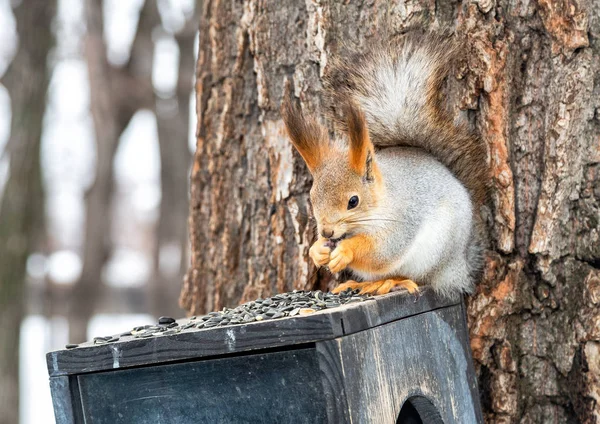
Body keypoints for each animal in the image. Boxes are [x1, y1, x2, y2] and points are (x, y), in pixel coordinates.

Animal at [282, 31, 488, 298]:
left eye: (353, 201)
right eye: (312, 198)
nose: (326, 232)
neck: (381, 200)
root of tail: (460, 266)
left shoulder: (401, 222)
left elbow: (381, 251)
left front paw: (346, 250)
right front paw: (317, 250)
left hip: (434, 256)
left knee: (418, 277)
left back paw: (390, 282)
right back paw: (363, 283)